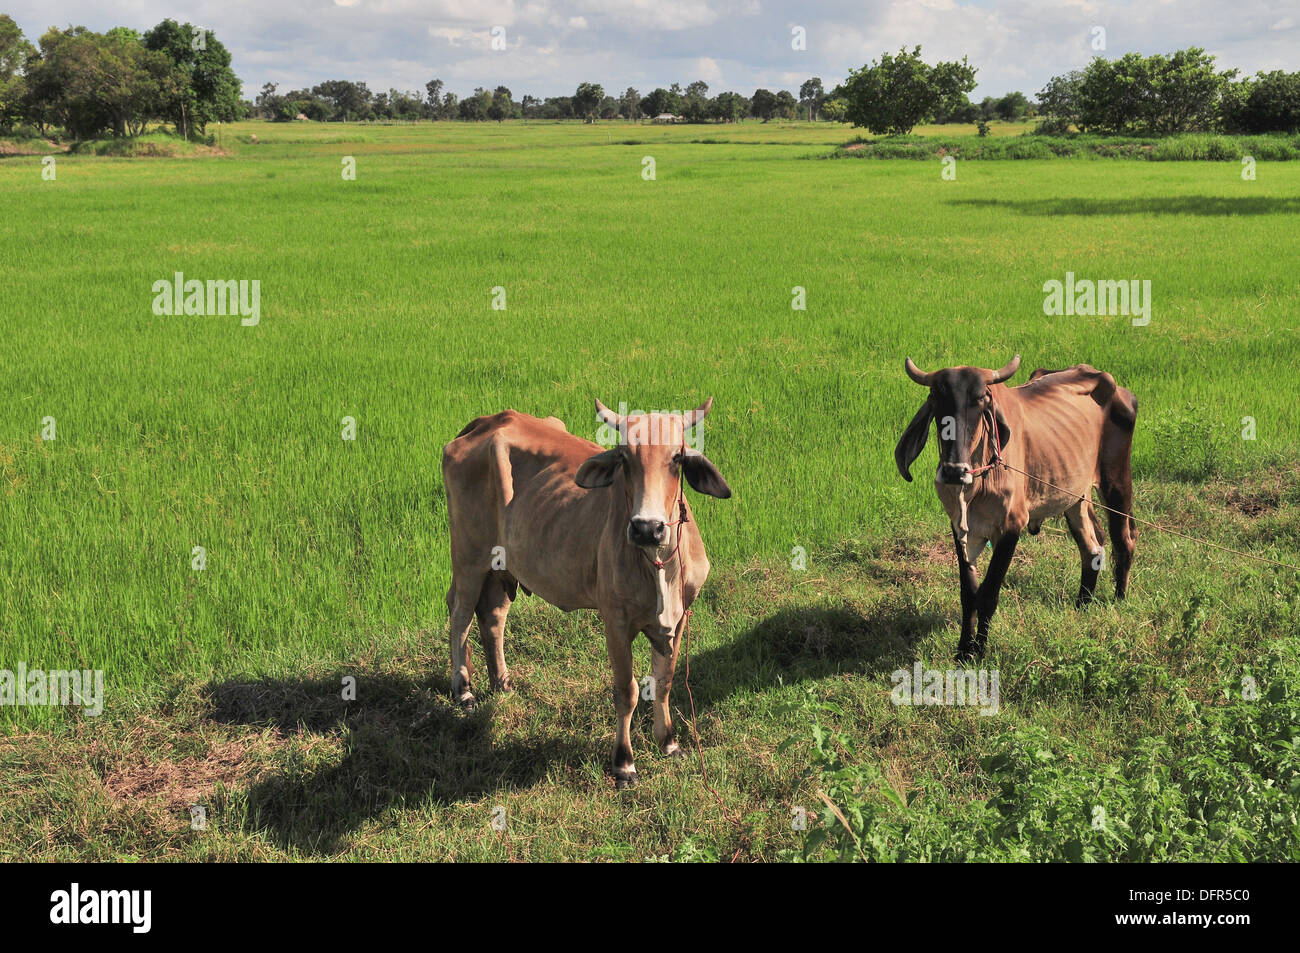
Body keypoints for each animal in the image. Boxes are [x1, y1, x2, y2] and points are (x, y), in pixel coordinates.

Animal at [441, 397, 733, 785]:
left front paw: (669, 742)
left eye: (677, 457)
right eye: (624, 457)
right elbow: (627, 691)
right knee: (460, 614)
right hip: (469, 556)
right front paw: (624, 763)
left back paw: (502, 682)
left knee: (492, 617)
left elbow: (665, 681)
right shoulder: (616, 622)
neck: (659, 563)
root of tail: (488, 421)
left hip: (500, 565)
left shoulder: (681, 616)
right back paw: (464, 691)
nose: (647, 528)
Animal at [894, 356, 1138, 660]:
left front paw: (979, 652)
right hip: (1075, 495)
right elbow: (968, 593)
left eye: (979, 399)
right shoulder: (959, 528)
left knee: (1123, 540)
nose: (953, 471)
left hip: (1115, 481)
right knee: (1092, 546)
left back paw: (1119, 599)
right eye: (937, 398)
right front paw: (963, 650)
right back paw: (1082, 604)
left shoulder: (1011, 526)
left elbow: (988, 594)